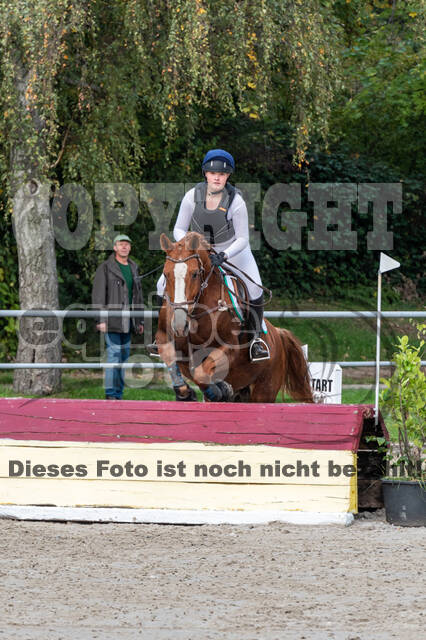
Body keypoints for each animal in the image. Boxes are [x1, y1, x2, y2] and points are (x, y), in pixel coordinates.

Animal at [155, 232, 314, 403]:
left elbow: (201, 372)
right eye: (165, 274)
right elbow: (178, 364)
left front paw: (218, 389)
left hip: (264, 391)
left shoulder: (229, 346)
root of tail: (278, 334)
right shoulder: (165, 338)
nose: (179, 325)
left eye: (195, 274)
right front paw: (189, 393)